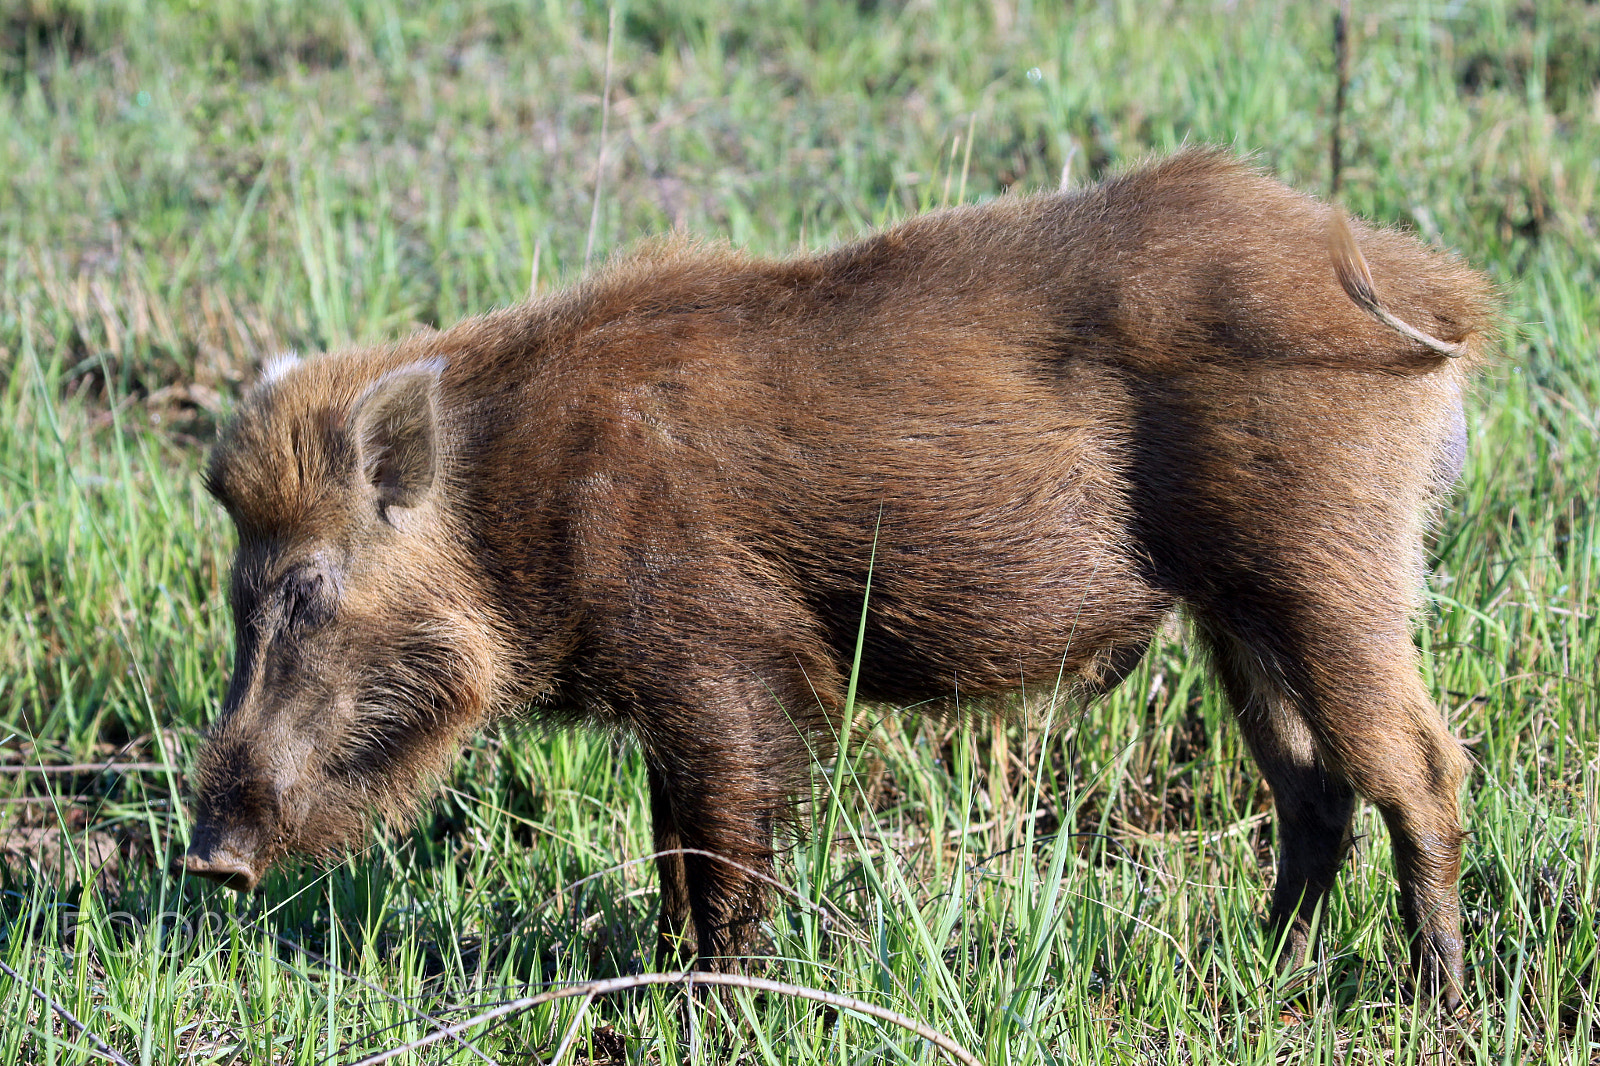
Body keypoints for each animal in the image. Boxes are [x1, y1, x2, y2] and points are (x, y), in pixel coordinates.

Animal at [183, 148, 1495, 1009]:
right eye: (237, 592)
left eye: (305, 587)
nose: (207, 857)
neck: (515, 503)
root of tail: (1435, 296)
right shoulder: (676, 697)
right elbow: (674, 850)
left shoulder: (720, 670)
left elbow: (722, 853)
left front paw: (709, 1008)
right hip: (1240, 609)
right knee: (1312, 791)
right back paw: (1257, 973)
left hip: (1327, 574)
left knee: (1421, 769)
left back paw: (1434, 1002)